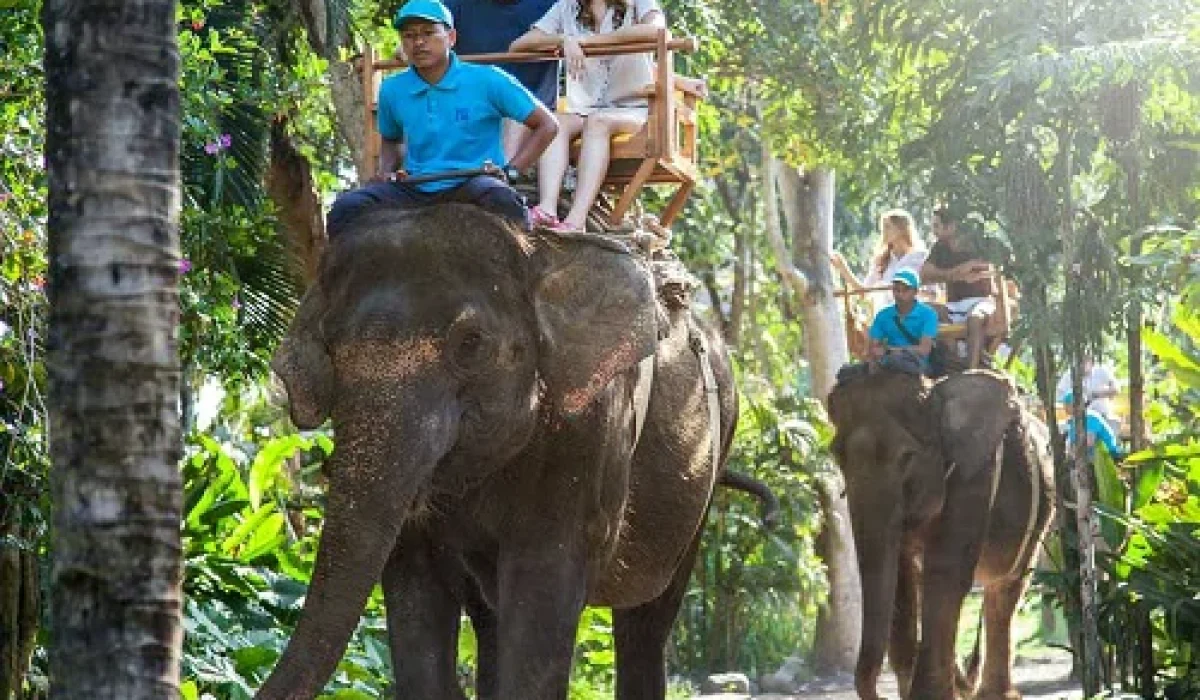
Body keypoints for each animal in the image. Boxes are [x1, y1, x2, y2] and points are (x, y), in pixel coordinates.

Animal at [259, 203, 742, 699]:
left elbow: (541, 597)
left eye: (471, 344)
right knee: (492, 621)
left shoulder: (588, 432)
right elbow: (415, 599)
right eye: (329, 345)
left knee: (645, 622)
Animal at [827, 369, 1055, 700]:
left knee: (1006, 588)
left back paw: (995, 695)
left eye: (907, 456)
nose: (881, 695)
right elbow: (902, 578)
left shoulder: (974, 476)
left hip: (1042, 510)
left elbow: (945, 572)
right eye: (836, 455)